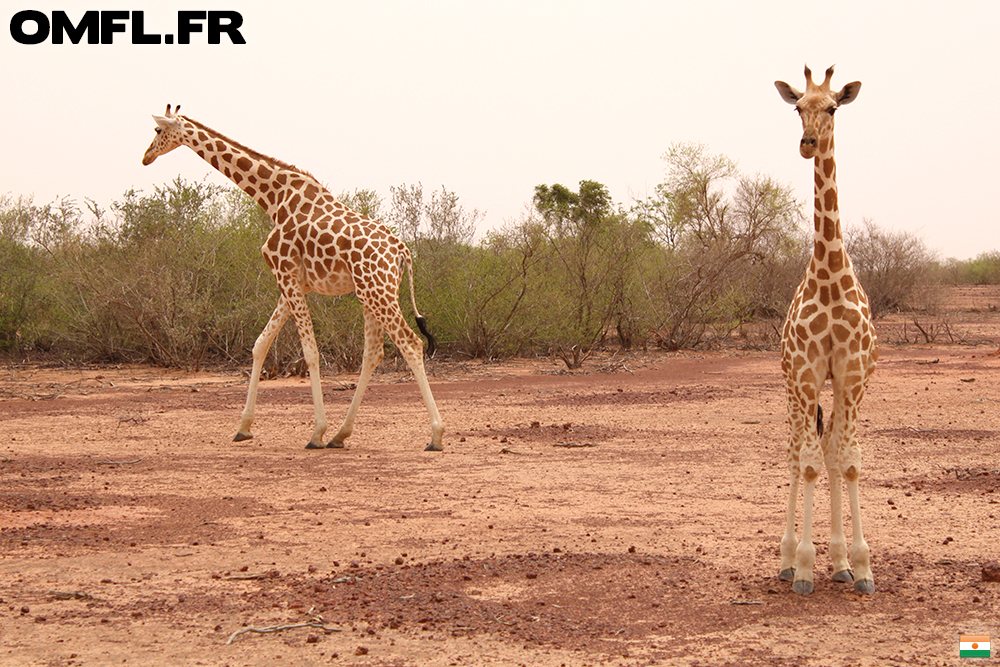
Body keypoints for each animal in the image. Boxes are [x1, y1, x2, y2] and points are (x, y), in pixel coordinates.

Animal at [139, 105, 444, 454]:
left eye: (157, 131)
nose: (146, 157)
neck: (274, 198)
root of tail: (402, 252)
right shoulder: (292, 282)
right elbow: (260, 344)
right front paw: (243, 428)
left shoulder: (285, 274)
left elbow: (310, 353)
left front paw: (316, 432)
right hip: (370, 292)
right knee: (373, 352)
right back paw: (341, 434)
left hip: (377, 291)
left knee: (410, 343)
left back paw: (435, 435)